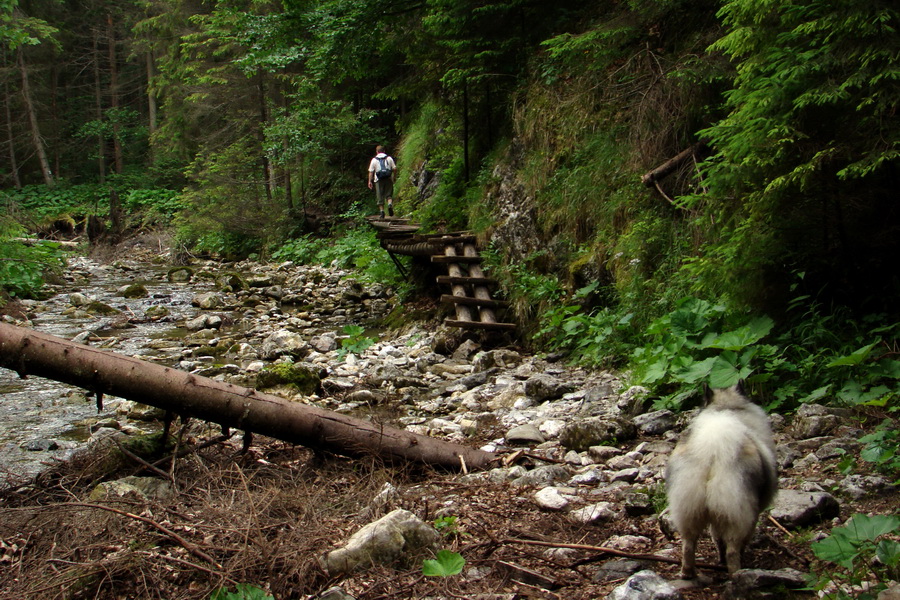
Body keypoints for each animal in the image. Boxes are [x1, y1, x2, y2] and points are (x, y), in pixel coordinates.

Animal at [664, 382, 776, 580]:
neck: (725, 408)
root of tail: (713, 448)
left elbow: (716, 538)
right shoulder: (752, 514)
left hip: (688, 509)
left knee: (689, 545)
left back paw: (687, 573)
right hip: (736, 513)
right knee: (732, 548)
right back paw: (737, 575)